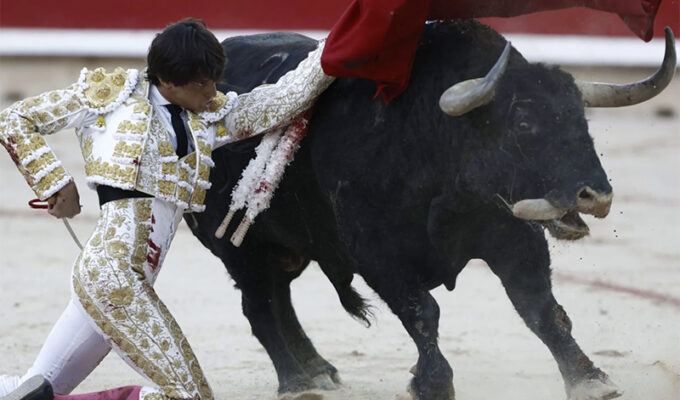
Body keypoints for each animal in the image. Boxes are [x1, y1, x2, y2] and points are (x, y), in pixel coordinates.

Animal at [182, 21, 676, 400]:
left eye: (580, 119)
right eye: (523, 123)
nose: (596, 195)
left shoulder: (513, 237)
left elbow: (542, 309)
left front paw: (589, 379)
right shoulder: (378, 254)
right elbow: (423, 312)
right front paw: (434, 384)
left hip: (287, 246)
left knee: (279, 298)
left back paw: (317, 370)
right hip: (239, 247)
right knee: (260, 305)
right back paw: (297, 382)